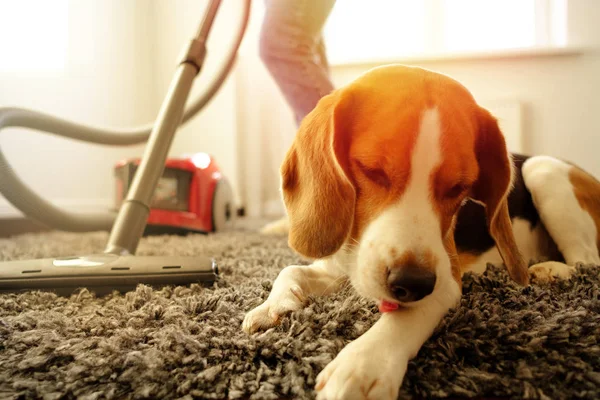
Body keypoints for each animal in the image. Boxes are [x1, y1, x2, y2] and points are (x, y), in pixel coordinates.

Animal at [241, 64, 596, 398]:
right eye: (372, 170)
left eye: (459, 188)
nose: (412, 283)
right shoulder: (336, 266)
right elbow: (289, 270)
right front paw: (272, 307)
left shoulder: (447, 280)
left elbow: (406, 318)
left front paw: (364, 365)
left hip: (543, 170)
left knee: (589, 261)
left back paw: (551, 270)